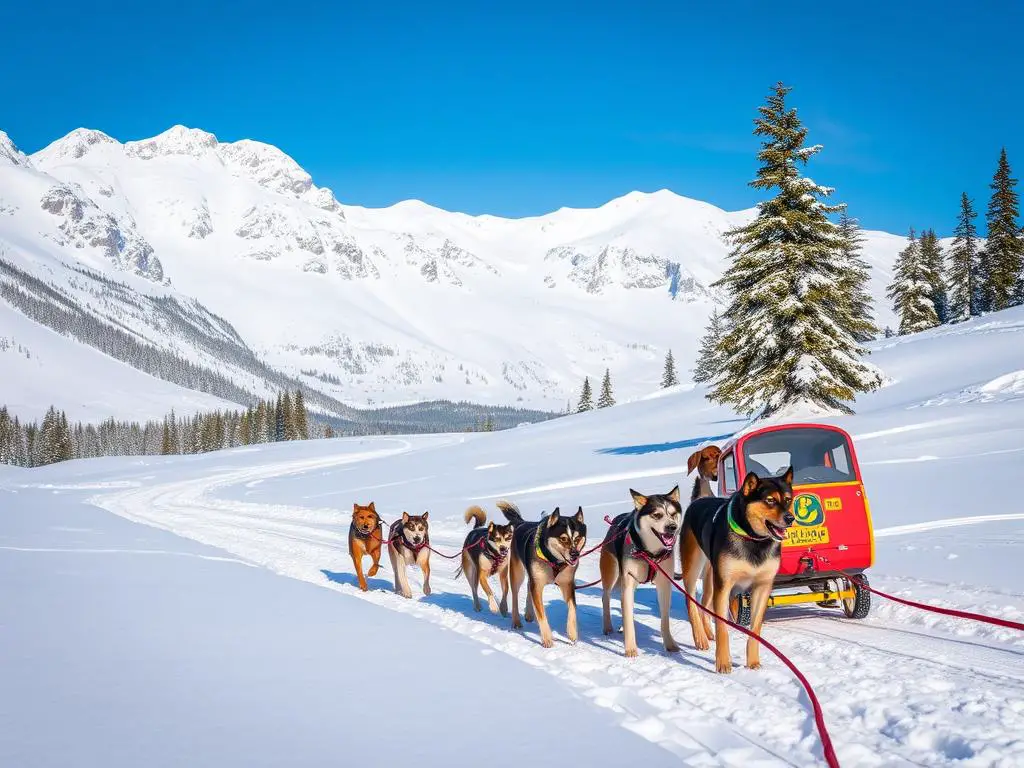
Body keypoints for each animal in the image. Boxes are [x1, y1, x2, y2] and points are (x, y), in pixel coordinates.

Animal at [501, 499, 589, 651]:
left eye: (577, 538)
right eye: (563, 539)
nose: (575, 554)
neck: (553, 561)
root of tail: (522, 522)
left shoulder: (567, 584)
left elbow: (572, 608)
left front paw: (572, 633)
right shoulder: (538, 584)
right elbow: (542, 614)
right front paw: (547, 638)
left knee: (529, 587)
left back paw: (529, 614)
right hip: (517, 573)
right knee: (515, 595)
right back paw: (517, 621)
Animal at [598, 489, 679, 659]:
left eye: (673, 514)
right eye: (657, 514)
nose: (672, 527)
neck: (650, 554)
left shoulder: (664, 585)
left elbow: (665, 618)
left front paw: (670, 645)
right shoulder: (628, 582)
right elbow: (629, 619)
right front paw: (630, 649)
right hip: (612, 574)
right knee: (606, 597)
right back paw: (608, 627)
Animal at [684, 468, 794, 671]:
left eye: (788, 499)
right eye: (770, 500)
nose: (790, 518)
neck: (753, 540)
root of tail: (699, 500)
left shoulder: (762, 587)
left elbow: (755, 629)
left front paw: (753, 662)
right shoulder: (725, 586)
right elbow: (723, 628)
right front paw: (723, 663)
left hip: (712, 576)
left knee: (704, 603)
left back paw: (707, 632)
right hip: (694, 569)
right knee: (692, 603)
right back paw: (700, 638)